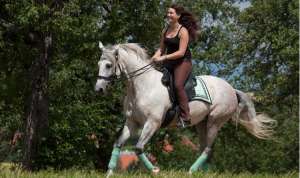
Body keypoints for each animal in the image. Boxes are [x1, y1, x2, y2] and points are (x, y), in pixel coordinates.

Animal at [95, 42, 276, 177]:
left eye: (109, 65)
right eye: (99, 64)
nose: (99, 89)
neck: (141, 86)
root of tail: (231, 89)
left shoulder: (152, 123)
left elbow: (138, 147)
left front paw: (155, 170)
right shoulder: (132, 122)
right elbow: (118, 143)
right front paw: (109, 172)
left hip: (215, 121)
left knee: (208, 149)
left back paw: (191, 170)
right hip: (202, 123)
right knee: (204, 148)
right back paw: (202, 172)